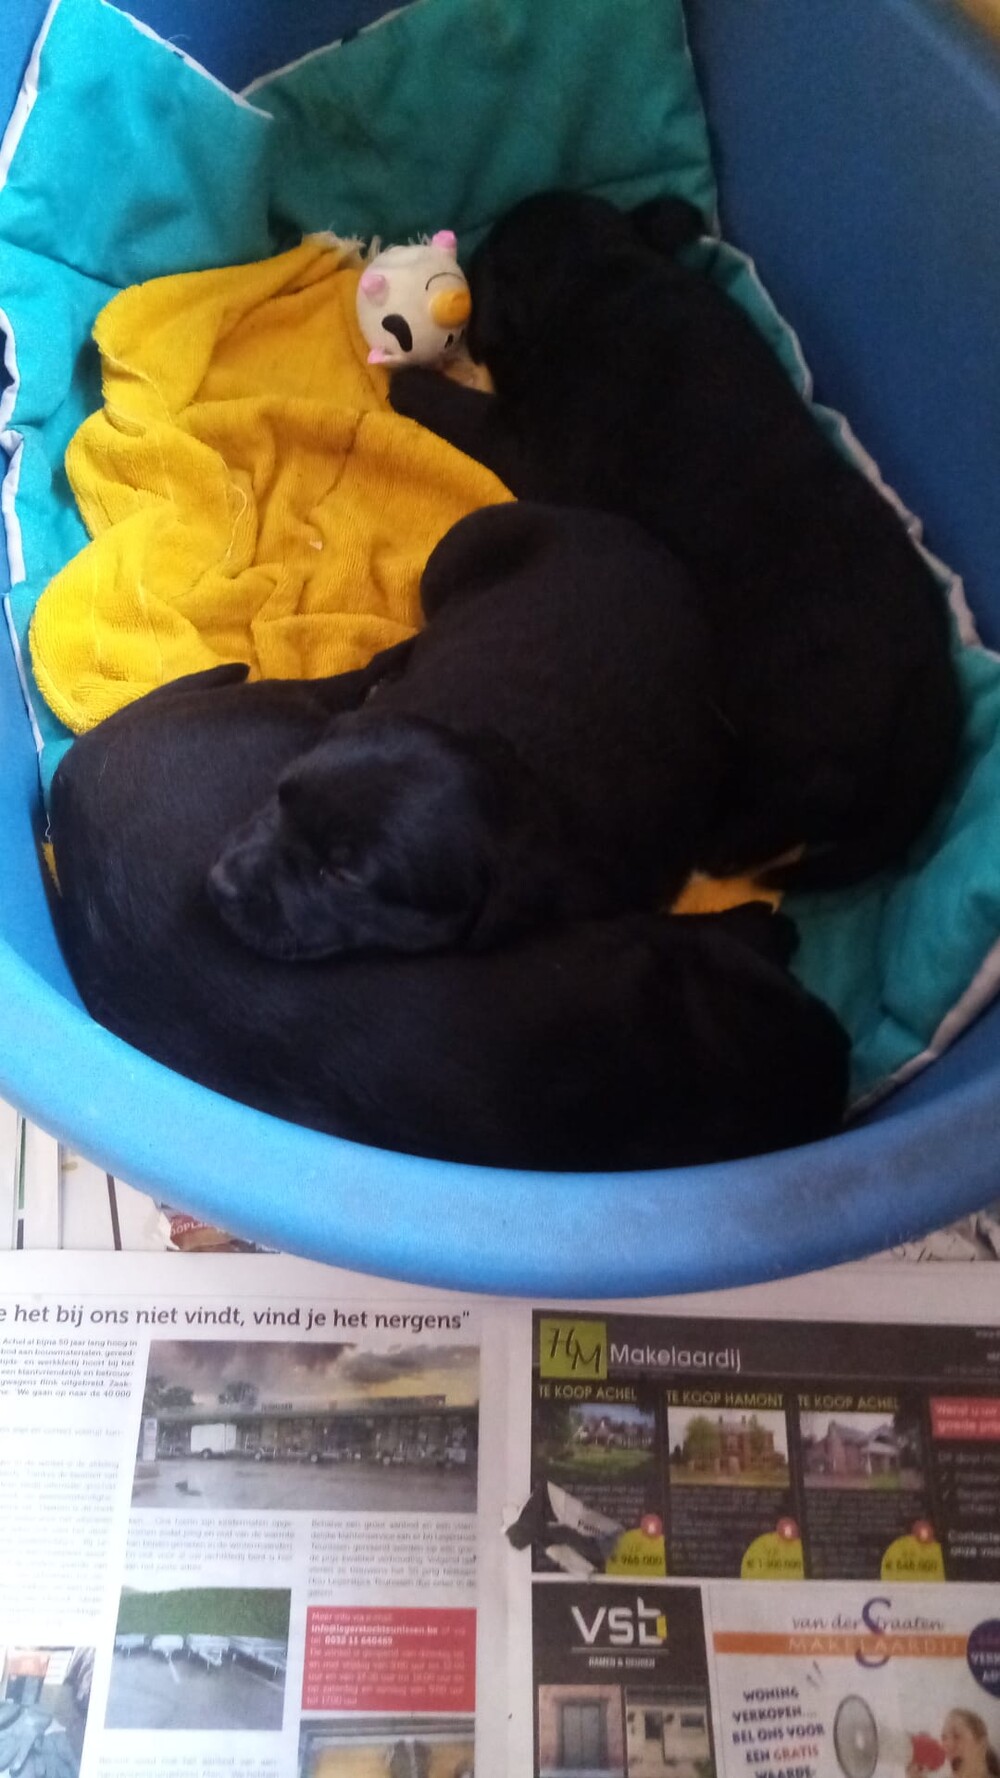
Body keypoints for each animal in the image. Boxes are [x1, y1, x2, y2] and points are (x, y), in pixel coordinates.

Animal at [389, 191, 962, 889]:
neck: (597, 272)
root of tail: (931, 664)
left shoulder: (534, 451)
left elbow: (468, 415)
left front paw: (409, 384)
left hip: (795, 725)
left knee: (804, 793)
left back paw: (721, 845)